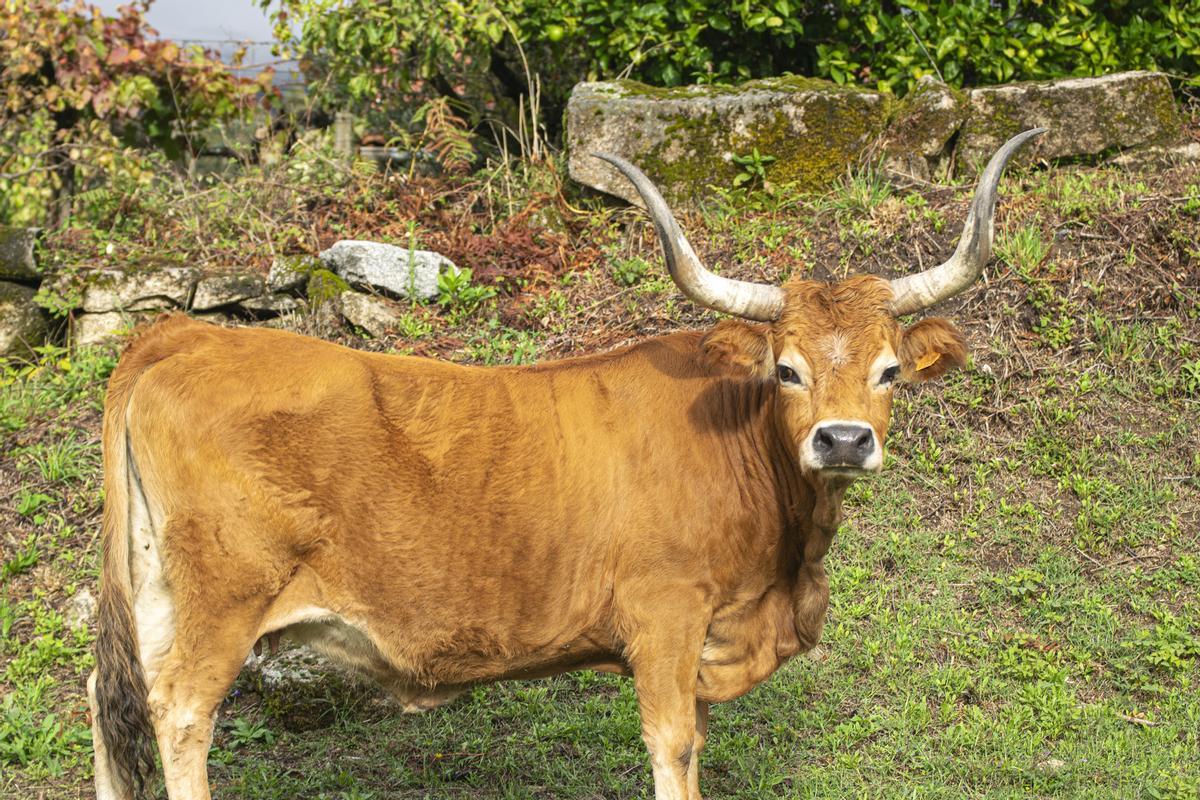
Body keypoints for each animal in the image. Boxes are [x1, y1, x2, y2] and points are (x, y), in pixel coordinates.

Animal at [88, 129, 1044, 800]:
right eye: (787, 370)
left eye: (888, 372)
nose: (843, 440)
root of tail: (185, 333)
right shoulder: (664, 616)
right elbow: (674, 748)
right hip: (221, 601)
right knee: (180, 713)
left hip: (154, 589)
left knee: (114, 705)